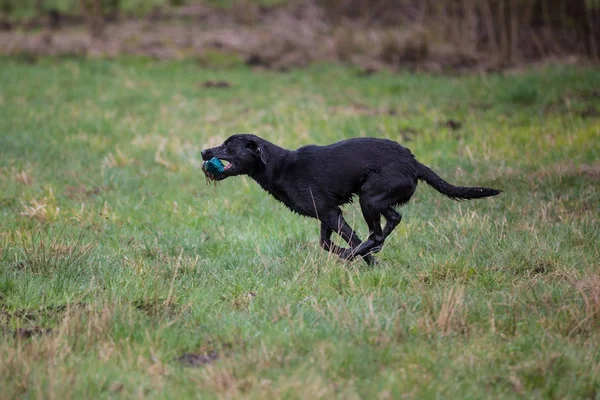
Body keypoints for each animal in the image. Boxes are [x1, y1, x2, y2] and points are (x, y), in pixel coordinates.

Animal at [202, 134, 502, 266]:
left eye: (228, 146)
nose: (204, 151)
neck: (281, 167)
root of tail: (413, 162)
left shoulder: (332, 214)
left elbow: (349, 240)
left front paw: (365, 263)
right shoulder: (326, 213)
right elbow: (324, 243)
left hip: (369, 197)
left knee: (376, 233)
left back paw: (356, 253)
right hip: (376, 198)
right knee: (392, 219)